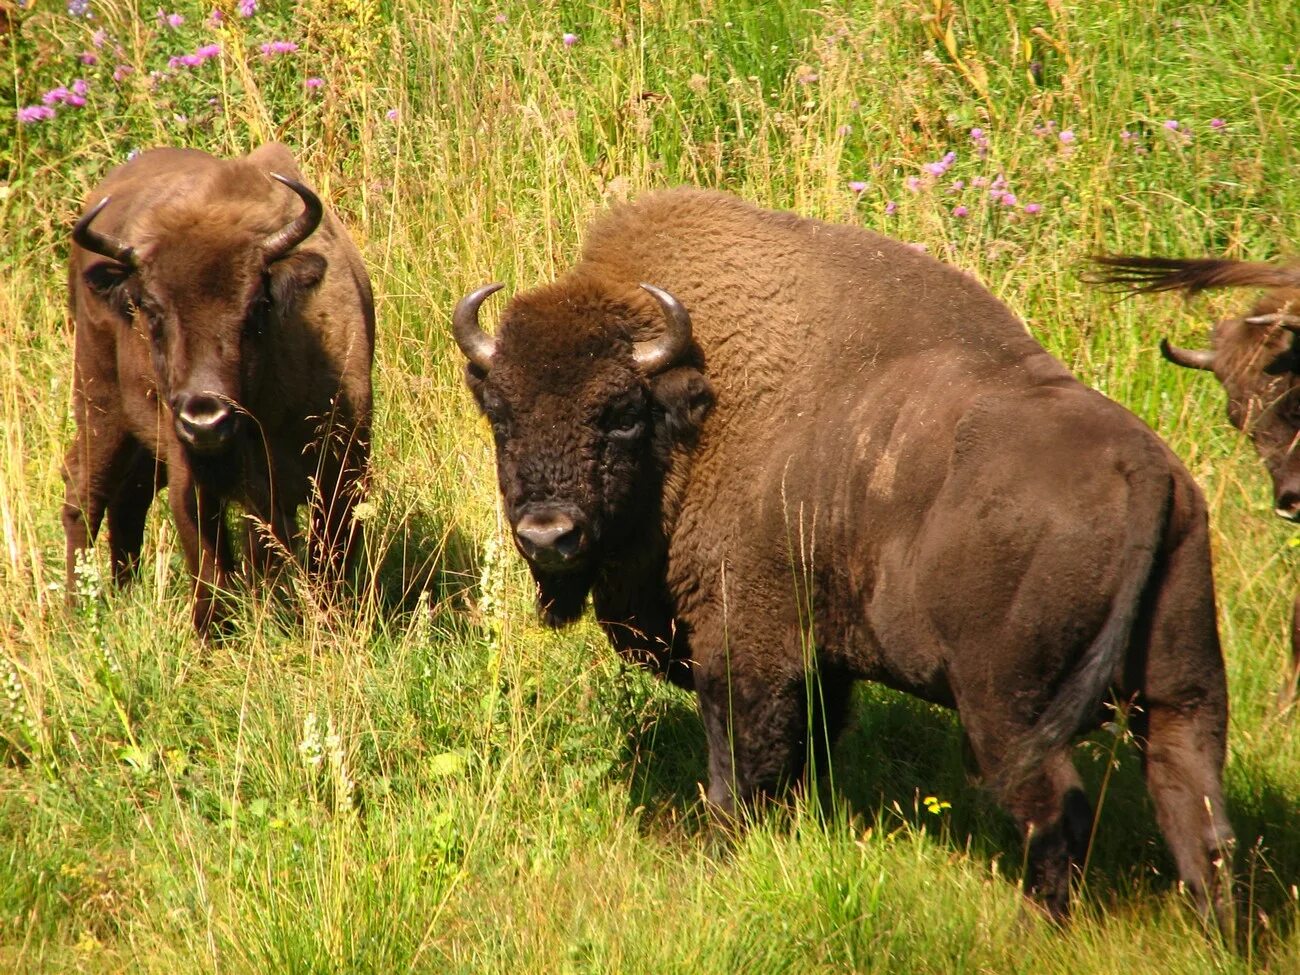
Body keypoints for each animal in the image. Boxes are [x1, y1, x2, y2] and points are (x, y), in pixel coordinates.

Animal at [64, 143, 377, 634]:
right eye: (151, 311)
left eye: (257, 306)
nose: (204, 418)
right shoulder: (194, 480)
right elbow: (211, 566)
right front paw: (212, 635)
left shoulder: (340, 471)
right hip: (100, 401)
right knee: (86, 490)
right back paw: (76, 614)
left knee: (127, 498)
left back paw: (121, 592)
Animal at [454, 184, 1227, 925]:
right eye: (501, 412)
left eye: (619, 414)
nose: (548, 535)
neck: (698, 418)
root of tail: (1143, 466)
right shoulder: (817, 661)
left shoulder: (743, 646)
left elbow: (740, 761)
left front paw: (720, 853)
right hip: (1182, 686)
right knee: (1194, 807)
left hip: (1009, 706)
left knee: (1058, 808)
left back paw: (1032, 928)